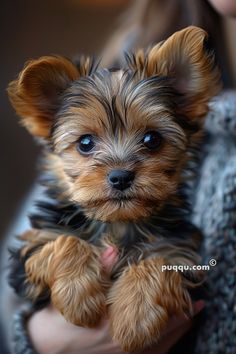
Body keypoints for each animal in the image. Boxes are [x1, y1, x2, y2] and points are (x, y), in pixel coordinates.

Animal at [8, 27, 219, 352]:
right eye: (85, 143)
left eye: (152, 139)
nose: (120, 177)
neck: (117, 223)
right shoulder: (31, 251)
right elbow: (64, 242)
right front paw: (79, 297)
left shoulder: (184, 257)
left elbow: (158, 262)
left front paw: (135, 319)